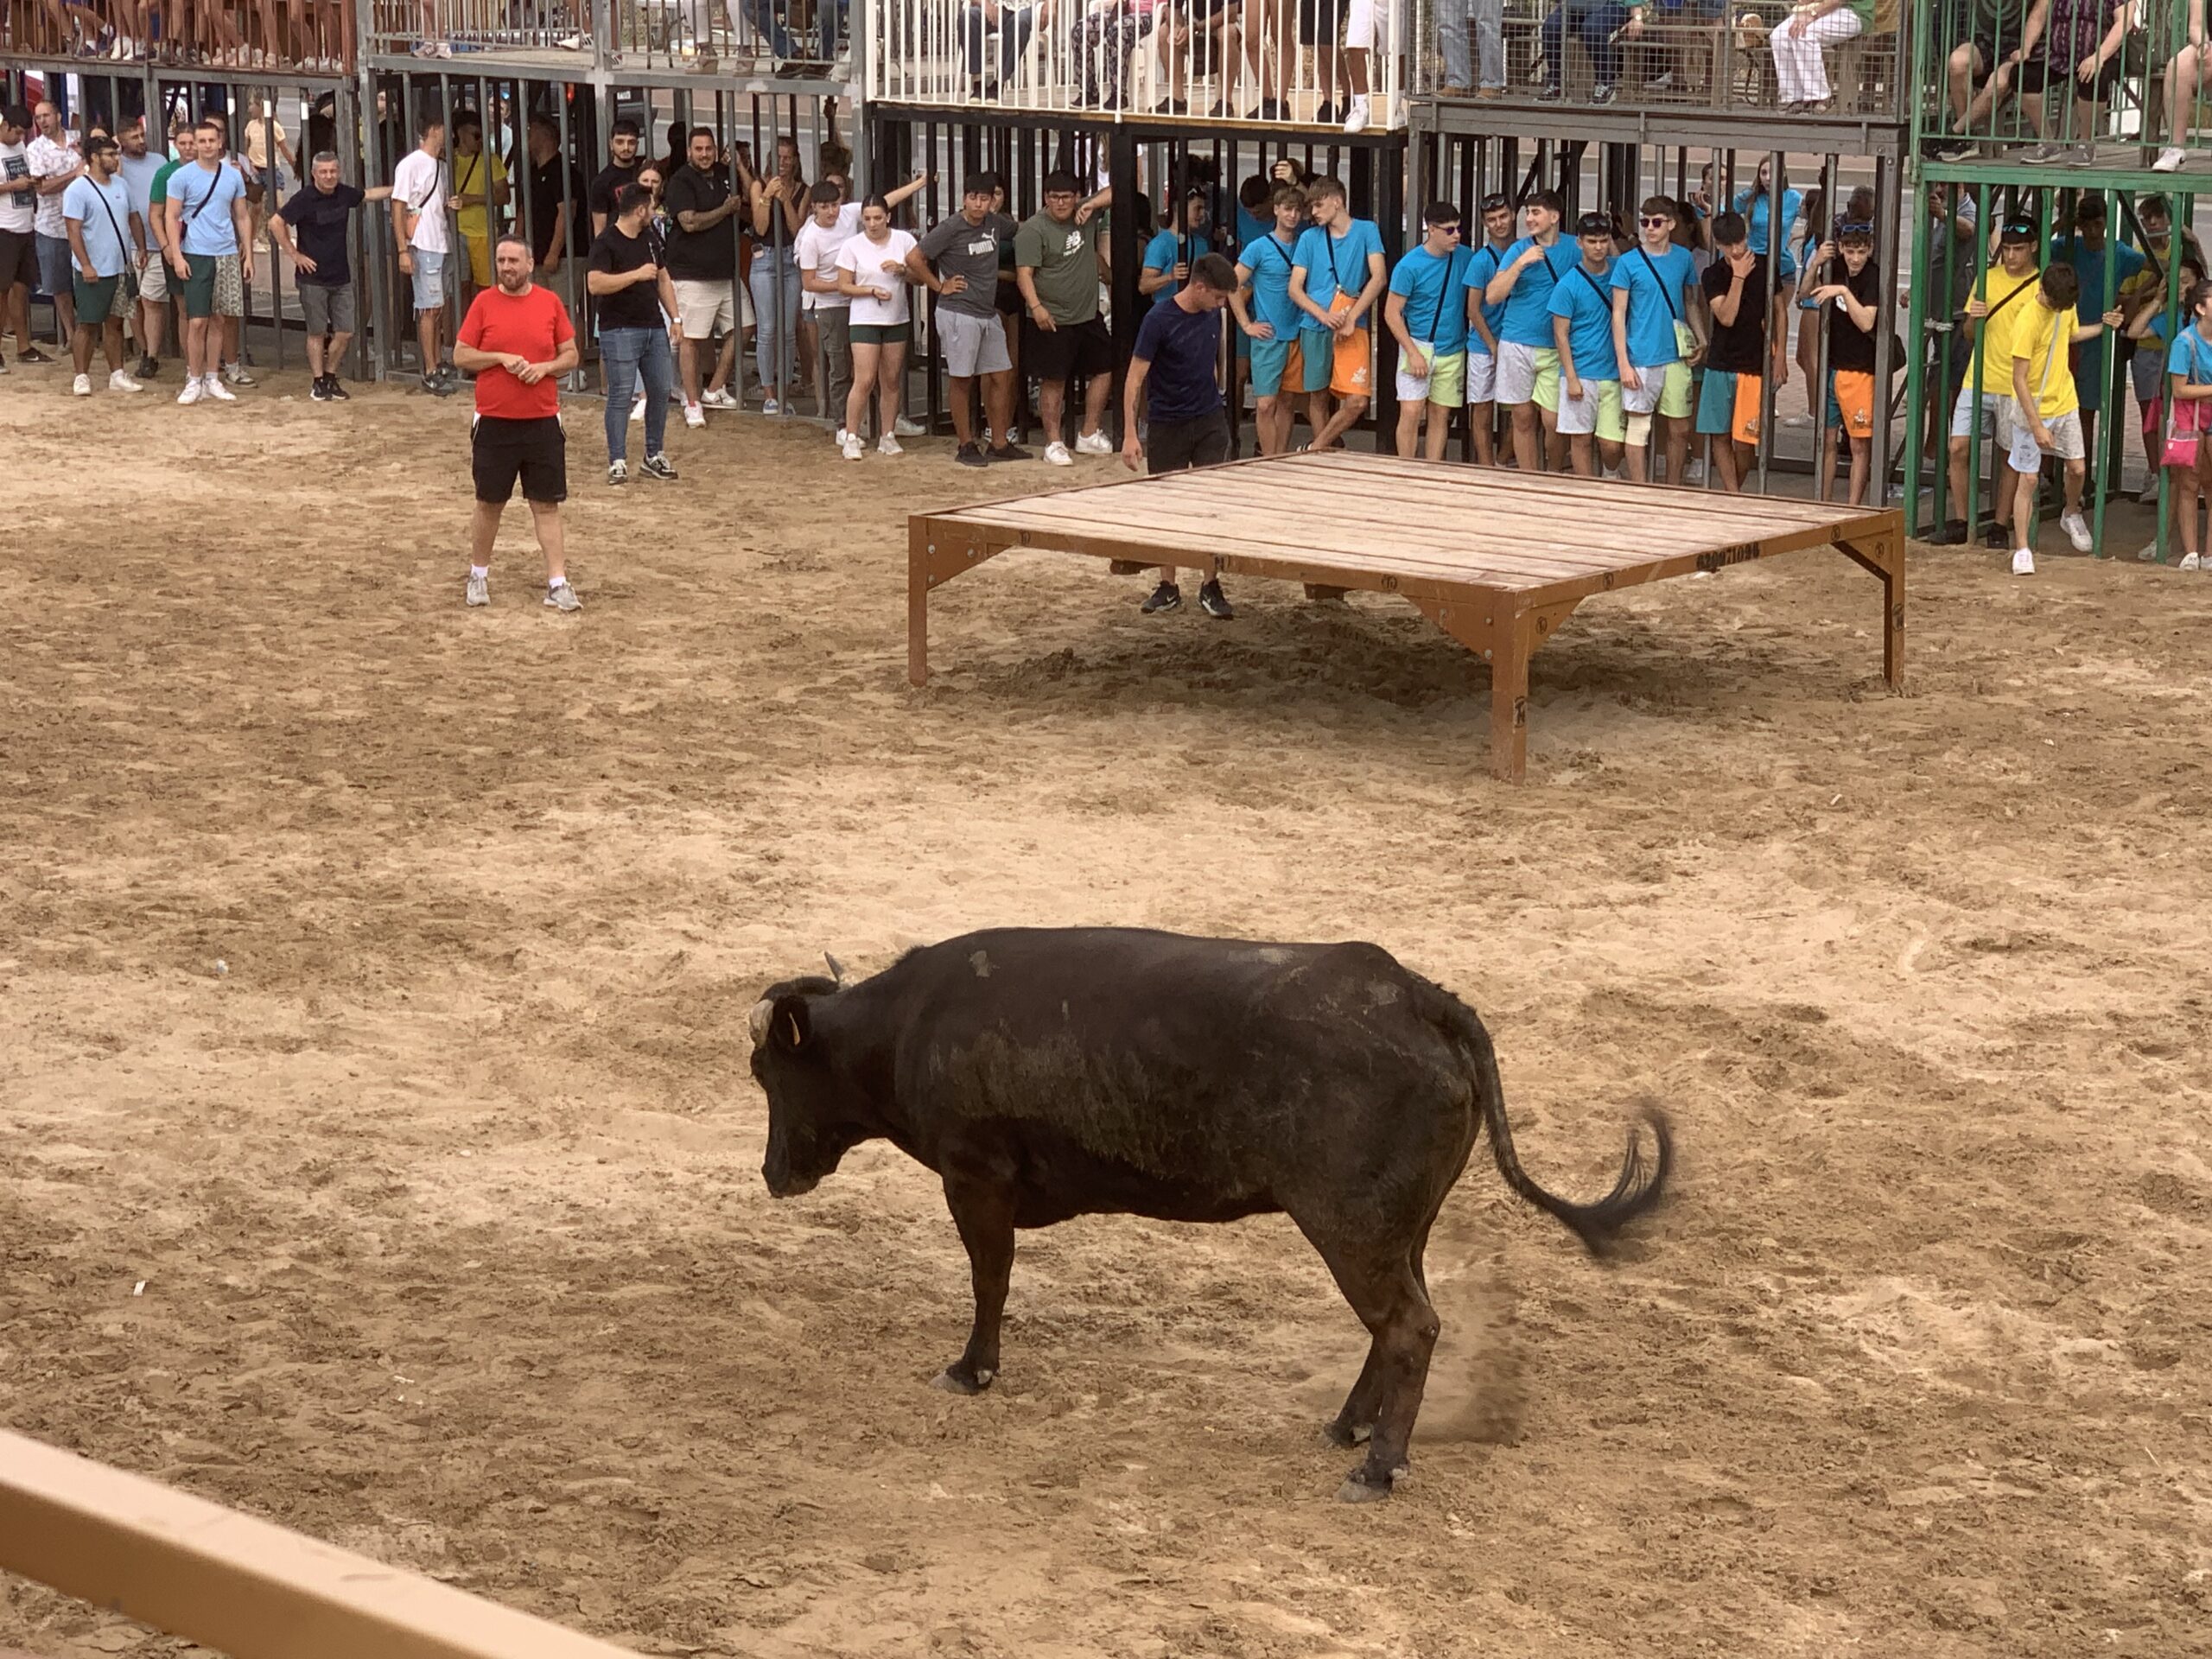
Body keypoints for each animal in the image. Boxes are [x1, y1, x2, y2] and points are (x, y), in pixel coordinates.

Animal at [752, 929, 1663, 1503]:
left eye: (766, 1072)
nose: (771, 1174)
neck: (909, 1022)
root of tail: (1418, 996)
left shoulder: (976, 1179)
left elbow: (990, 1281)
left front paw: (971, 1370)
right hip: (1401, 1231)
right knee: (1400, 1322)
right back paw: (1346, 1429)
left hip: (1350, 1229)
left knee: (1408, 1326)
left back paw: (1376, 1469)